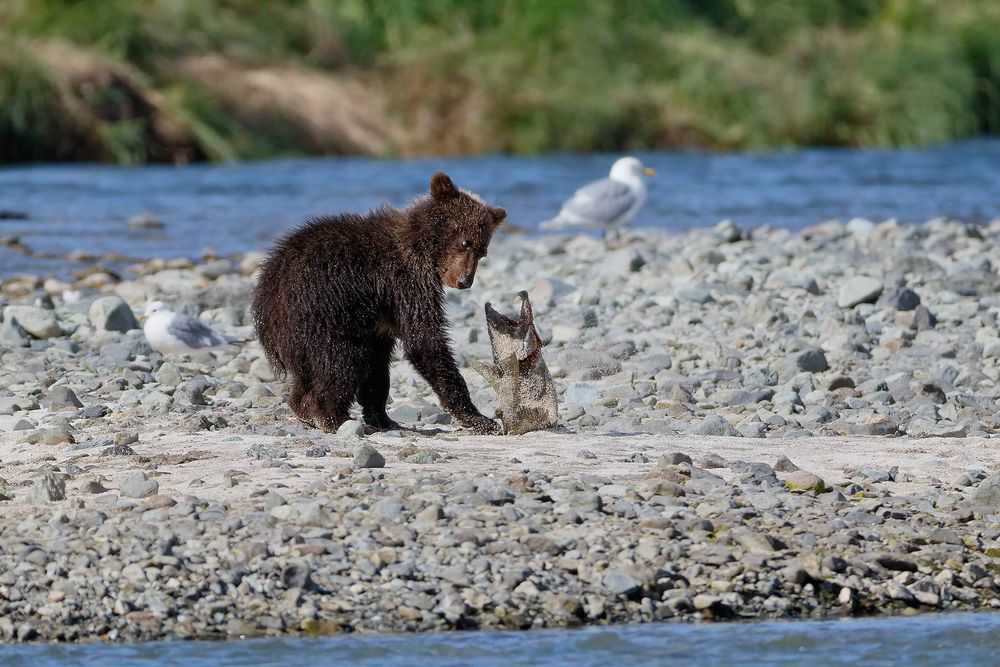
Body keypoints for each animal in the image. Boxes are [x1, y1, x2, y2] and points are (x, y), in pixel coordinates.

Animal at [252, 171, 506, 435]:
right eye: (465, 242)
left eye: (482, 252)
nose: (465, 280)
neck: (423, 247)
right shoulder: (405, 282)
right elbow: (424, 339)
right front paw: (478, 417)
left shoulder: (380, 316)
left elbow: (378, 366)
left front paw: (383, 418)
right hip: (322, 314)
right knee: (344, 360)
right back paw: (331, 416)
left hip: (301, 337)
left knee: (310, 372)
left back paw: (303, 407)